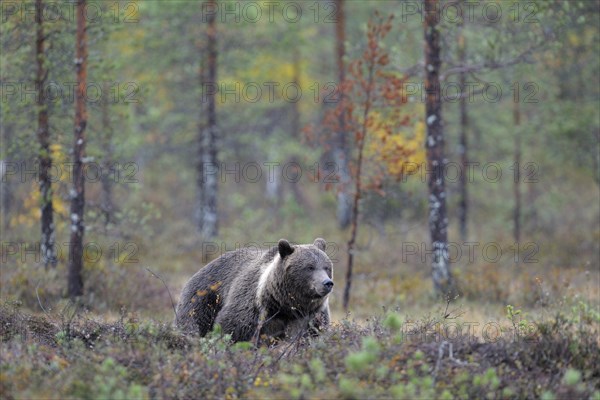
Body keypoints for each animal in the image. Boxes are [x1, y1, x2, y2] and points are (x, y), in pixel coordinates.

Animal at [175, 239, 332, 342]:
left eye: (327, 267)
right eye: (310, 267)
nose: (327, 283)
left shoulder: (310, 317)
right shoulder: (252, 308)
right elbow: (233, 329)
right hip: (203, 298)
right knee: (192, 323)